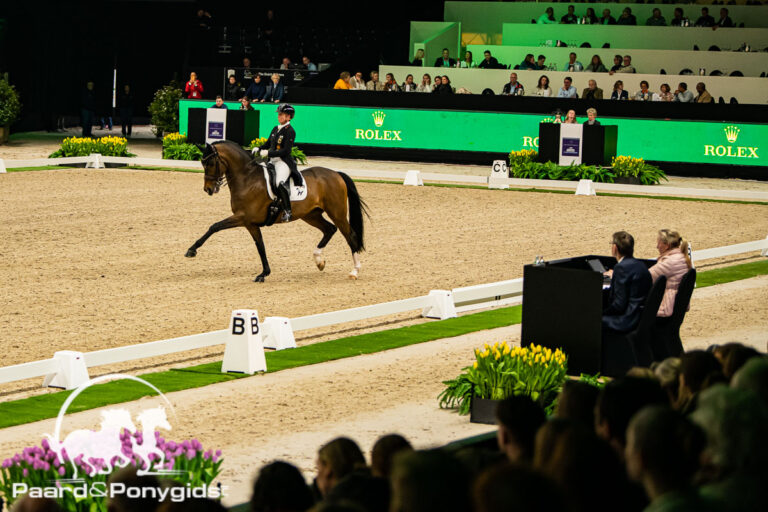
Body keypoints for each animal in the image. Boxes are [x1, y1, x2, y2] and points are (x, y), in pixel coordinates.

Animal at [184, 142, 368, 282]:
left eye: (210, 163)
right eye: (202, 164)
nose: (208, 189)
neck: (247, 179)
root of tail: (336, 173)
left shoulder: (242, 217)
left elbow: (215, 226)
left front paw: (192, 250)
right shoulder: (250, 223)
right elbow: (260, 246)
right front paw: (264, 274)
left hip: (337, 213)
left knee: (350, 235)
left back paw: (354, 271)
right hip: (311, 215)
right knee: (329, 229)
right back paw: (319, 261)